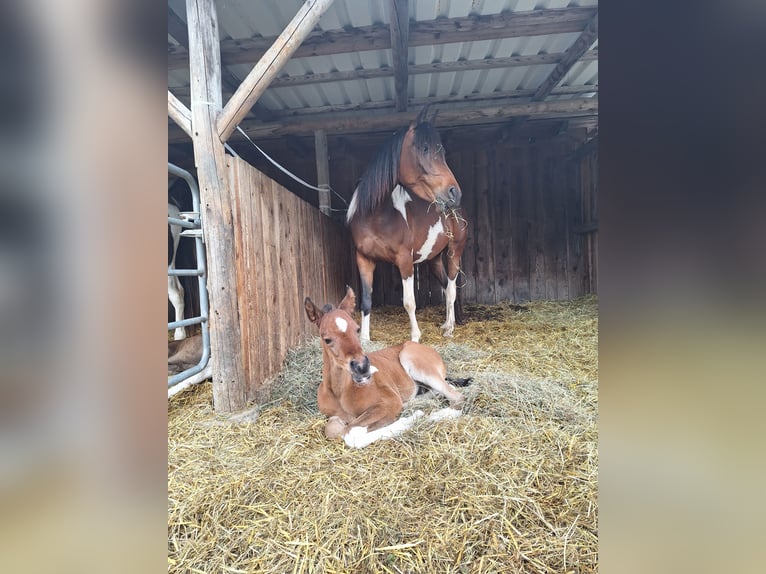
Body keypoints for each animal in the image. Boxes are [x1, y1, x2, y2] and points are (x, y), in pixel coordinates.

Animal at [304, 288, 472, 450]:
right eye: (327, 339)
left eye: (357, 329)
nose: (362, 367)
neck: (341, 391)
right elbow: (332, 429)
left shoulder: (388, 402)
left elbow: (352, 434)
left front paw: (412, 418)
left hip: (414, 361)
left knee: (457, 397)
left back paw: (433, 416)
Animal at [348, 106, 468, 344]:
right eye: (425, 148)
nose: (454, 193)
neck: (377, 216)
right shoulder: (364, 259)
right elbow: (366, 300)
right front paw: (364, 338)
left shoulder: (404, 261)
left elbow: (409, 302)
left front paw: (415, 337)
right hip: (434, 259)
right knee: (446, 285)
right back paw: (449, 322)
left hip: (454, 251)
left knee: (451, 288)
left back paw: (450, 328)